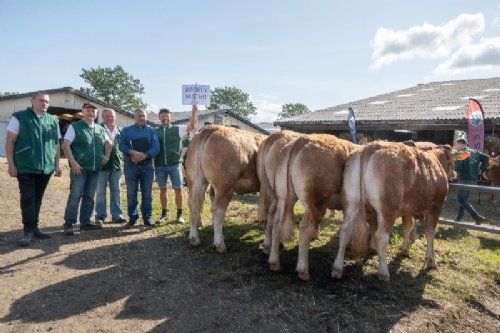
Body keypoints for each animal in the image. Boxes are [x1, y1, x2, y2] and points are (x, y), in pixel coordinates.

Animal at [186, 124, 266, 252]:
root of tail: (212, 128)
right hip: (225, 186)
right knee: (218, 210)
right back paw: (220, 245)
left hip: (196, 180)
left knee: (194, 204)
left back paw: (194, 239)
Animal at [270, 134, 356, 278]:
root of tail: (302, 140)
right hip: (314, 202)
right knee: (304, 227)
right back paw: (303, 271)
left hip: (283, 196)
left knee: (277, 222)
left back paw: (274, 262)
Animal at [332, 141, 454, 280]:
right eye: (452, 161)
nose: (454, 176)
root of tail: (371, 146)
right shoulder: (435, 207)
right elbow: (430, 233)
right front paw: (431, 261)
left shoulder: (407, 209)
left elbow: (407, 226)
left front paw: (405, 250)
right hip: (388, 208)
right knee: (382, 236)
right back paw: (384, 272)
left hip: (351, 201)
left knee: (345, 230)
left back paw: (337, 268)